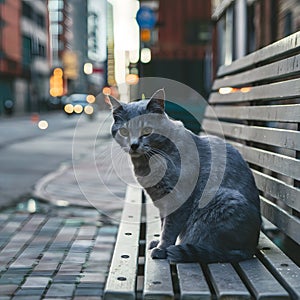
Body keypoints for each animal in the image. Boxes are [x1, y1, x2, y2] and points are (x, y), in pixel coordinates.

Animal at [108, 89, 260, 262]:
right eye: (124, 131)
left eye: (146, 130)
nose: (133, 145)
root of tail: (251, 248)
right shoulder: (162, 200)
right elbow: (163, 224)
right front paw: (158, 243)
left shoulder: (178, 199)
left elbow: (169, 229)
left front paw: (162, 248)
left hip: (222, 198)